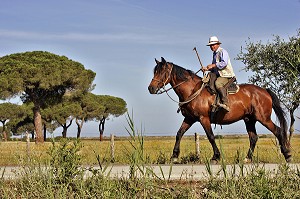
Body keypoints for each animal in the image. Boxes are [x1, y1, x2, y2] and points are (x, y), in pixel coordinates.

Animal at [148, 56, 290, 162]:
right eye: (154, 71)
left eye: (162, 72)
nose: (151, 88)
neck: (192, 90)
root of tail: (264, 91)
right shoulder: (189, 118)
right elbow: (179, 134)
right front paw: (174, 156)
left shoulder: (203, 118)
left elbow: (210, 136)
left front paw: (216, 156)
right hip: (249, 120)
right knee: (253, 138)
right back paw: (247, 158)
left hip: (263, 118)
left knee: (278, 131)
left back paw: (287, 155)